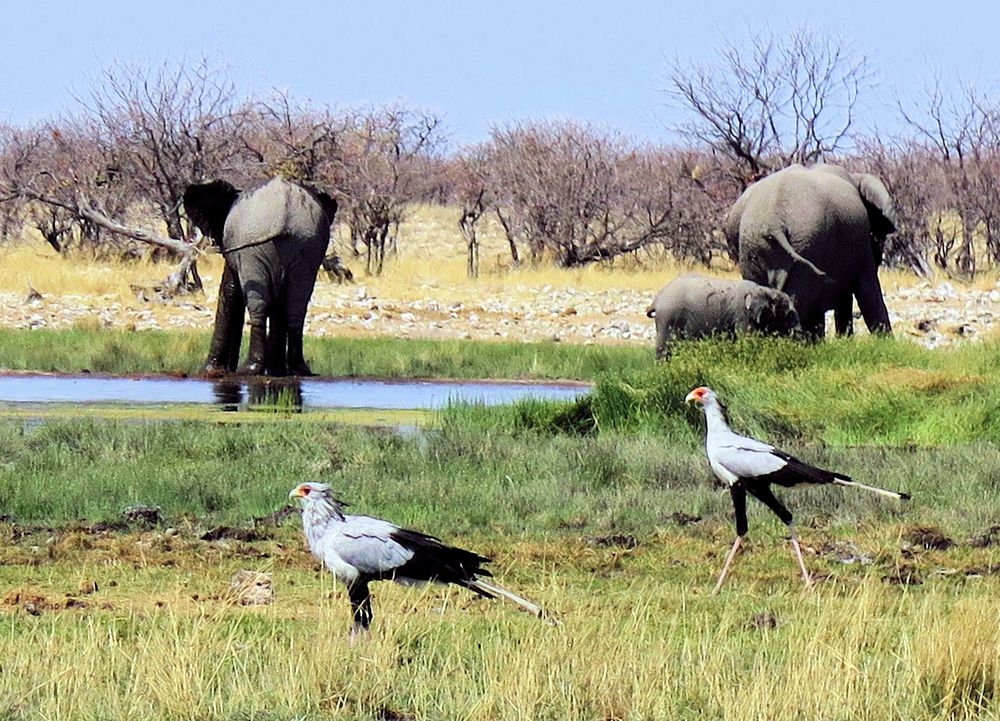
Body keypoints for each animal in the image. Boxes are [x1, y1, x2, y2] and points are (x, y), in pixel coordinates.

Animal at [186, 178, 342, 376]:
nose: (229, 368)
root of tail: (284, 215)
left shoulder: (238, 252)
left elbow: (230, 292)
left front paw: (209, 371)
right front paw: (275, 371)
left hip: (253, 249)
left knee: (259, 304)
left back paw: (249, 369)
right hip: (307, 246)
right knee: (296, 306)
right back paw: (298, 370)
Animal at [644, 272, 800, 358]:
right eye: (788, 313)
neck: (765, 290)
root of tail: (657, 299)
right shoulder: (743, 314)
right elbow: (746, 338)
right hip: (668, 316)